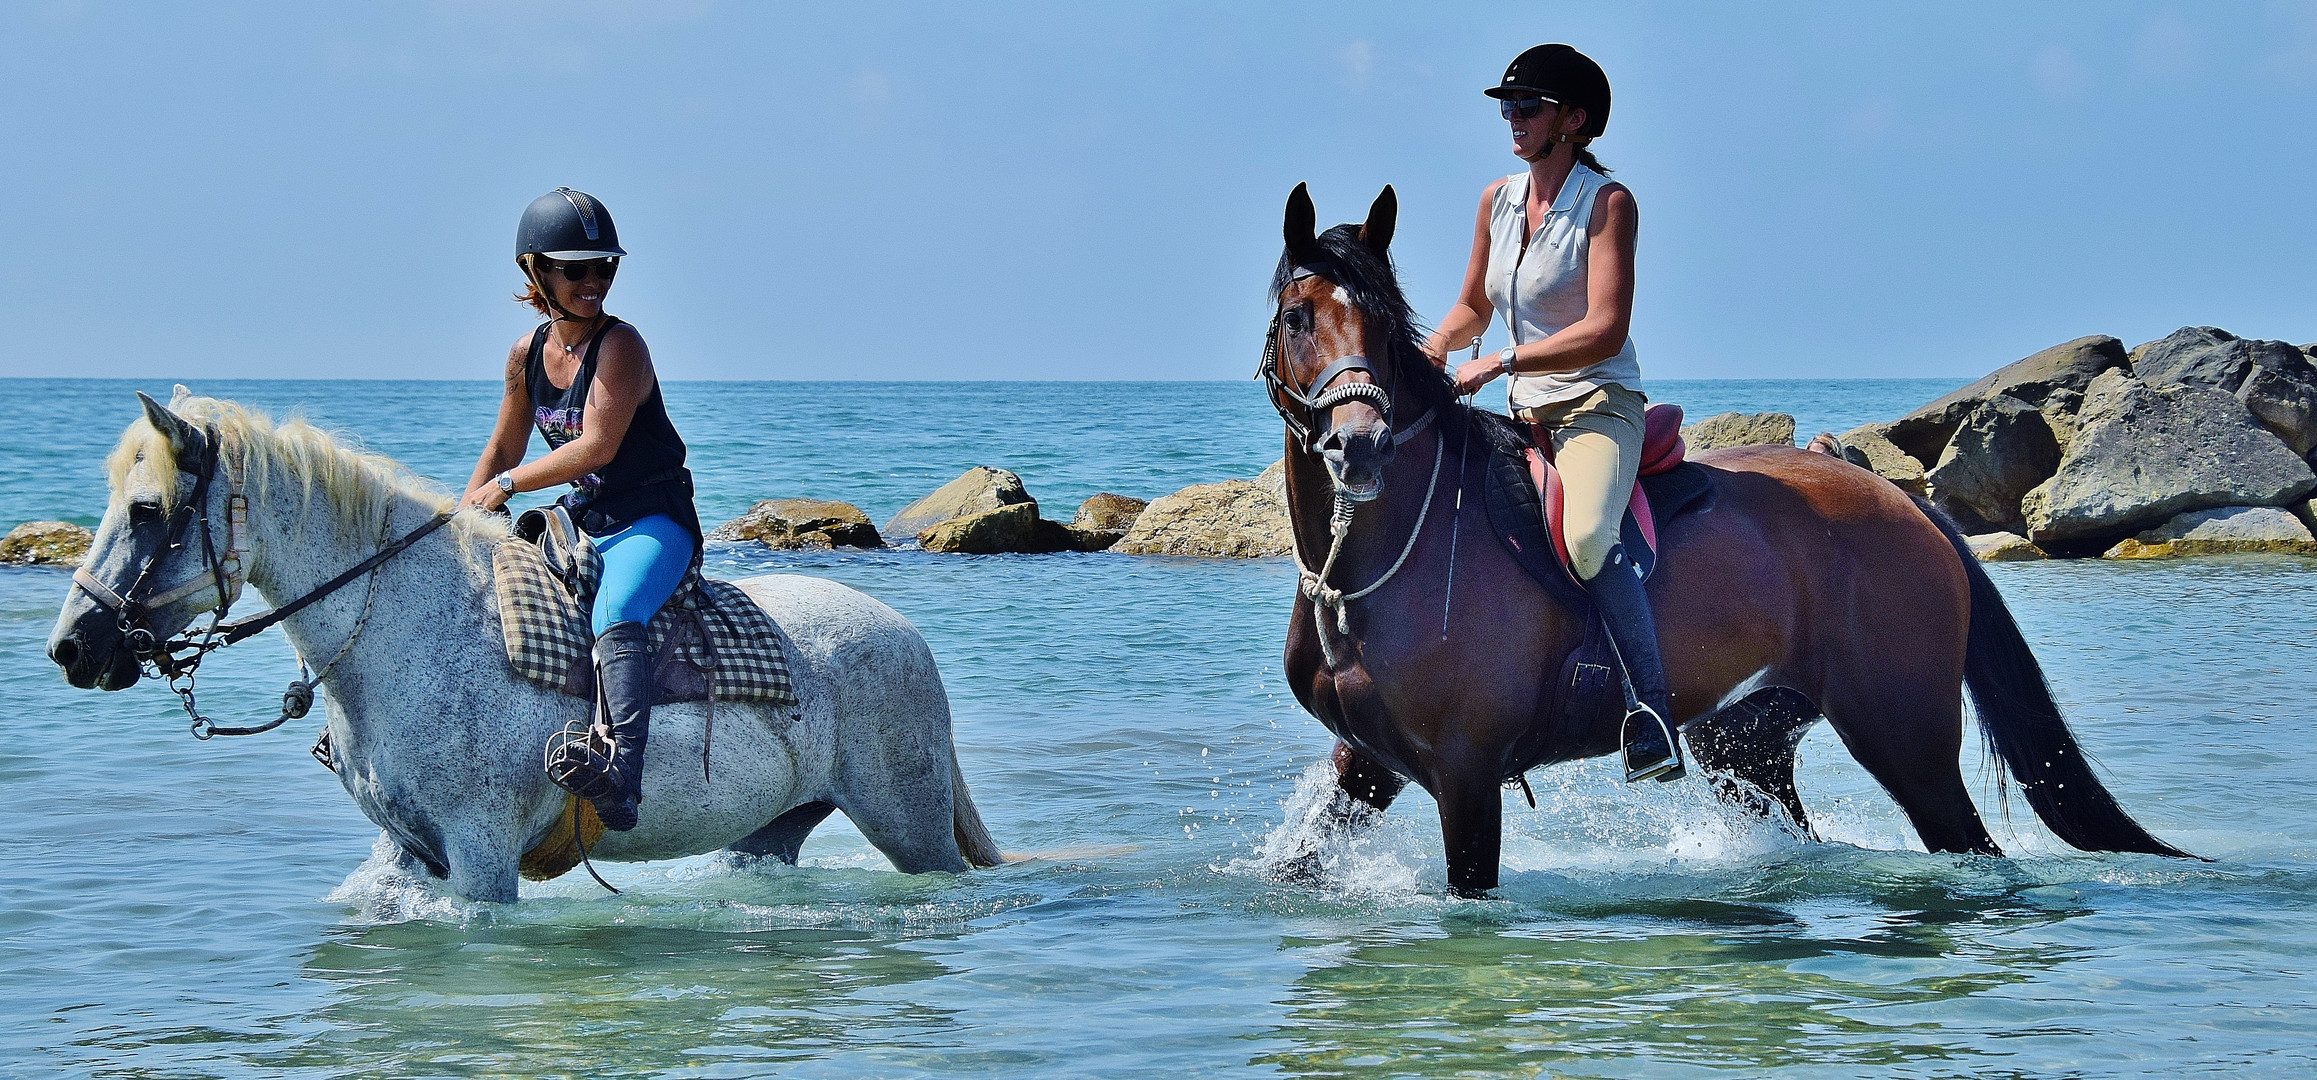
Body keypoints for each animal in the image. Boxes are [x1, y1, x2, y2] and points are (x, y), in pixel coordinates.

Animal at [45, 389, 1000, 903]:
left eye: (147, 511)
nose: (71, 648)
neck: (407, 631)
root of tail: (905, 636)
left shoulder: (480, 859)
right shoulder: (407, 854)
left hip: (911, 826)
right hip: (767, 834)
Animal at [1269, 183, 2187, 894]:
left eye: (1384, 331)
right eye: (1295, 318)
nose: (1358, 447)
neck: (1380, 558)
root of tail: (1906, 504)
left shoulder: (1466, 776)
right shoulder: (1371, 763)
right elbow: (1296, 863)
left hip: (1905, 737)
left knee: (1968, 844)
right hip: (1745, 747)